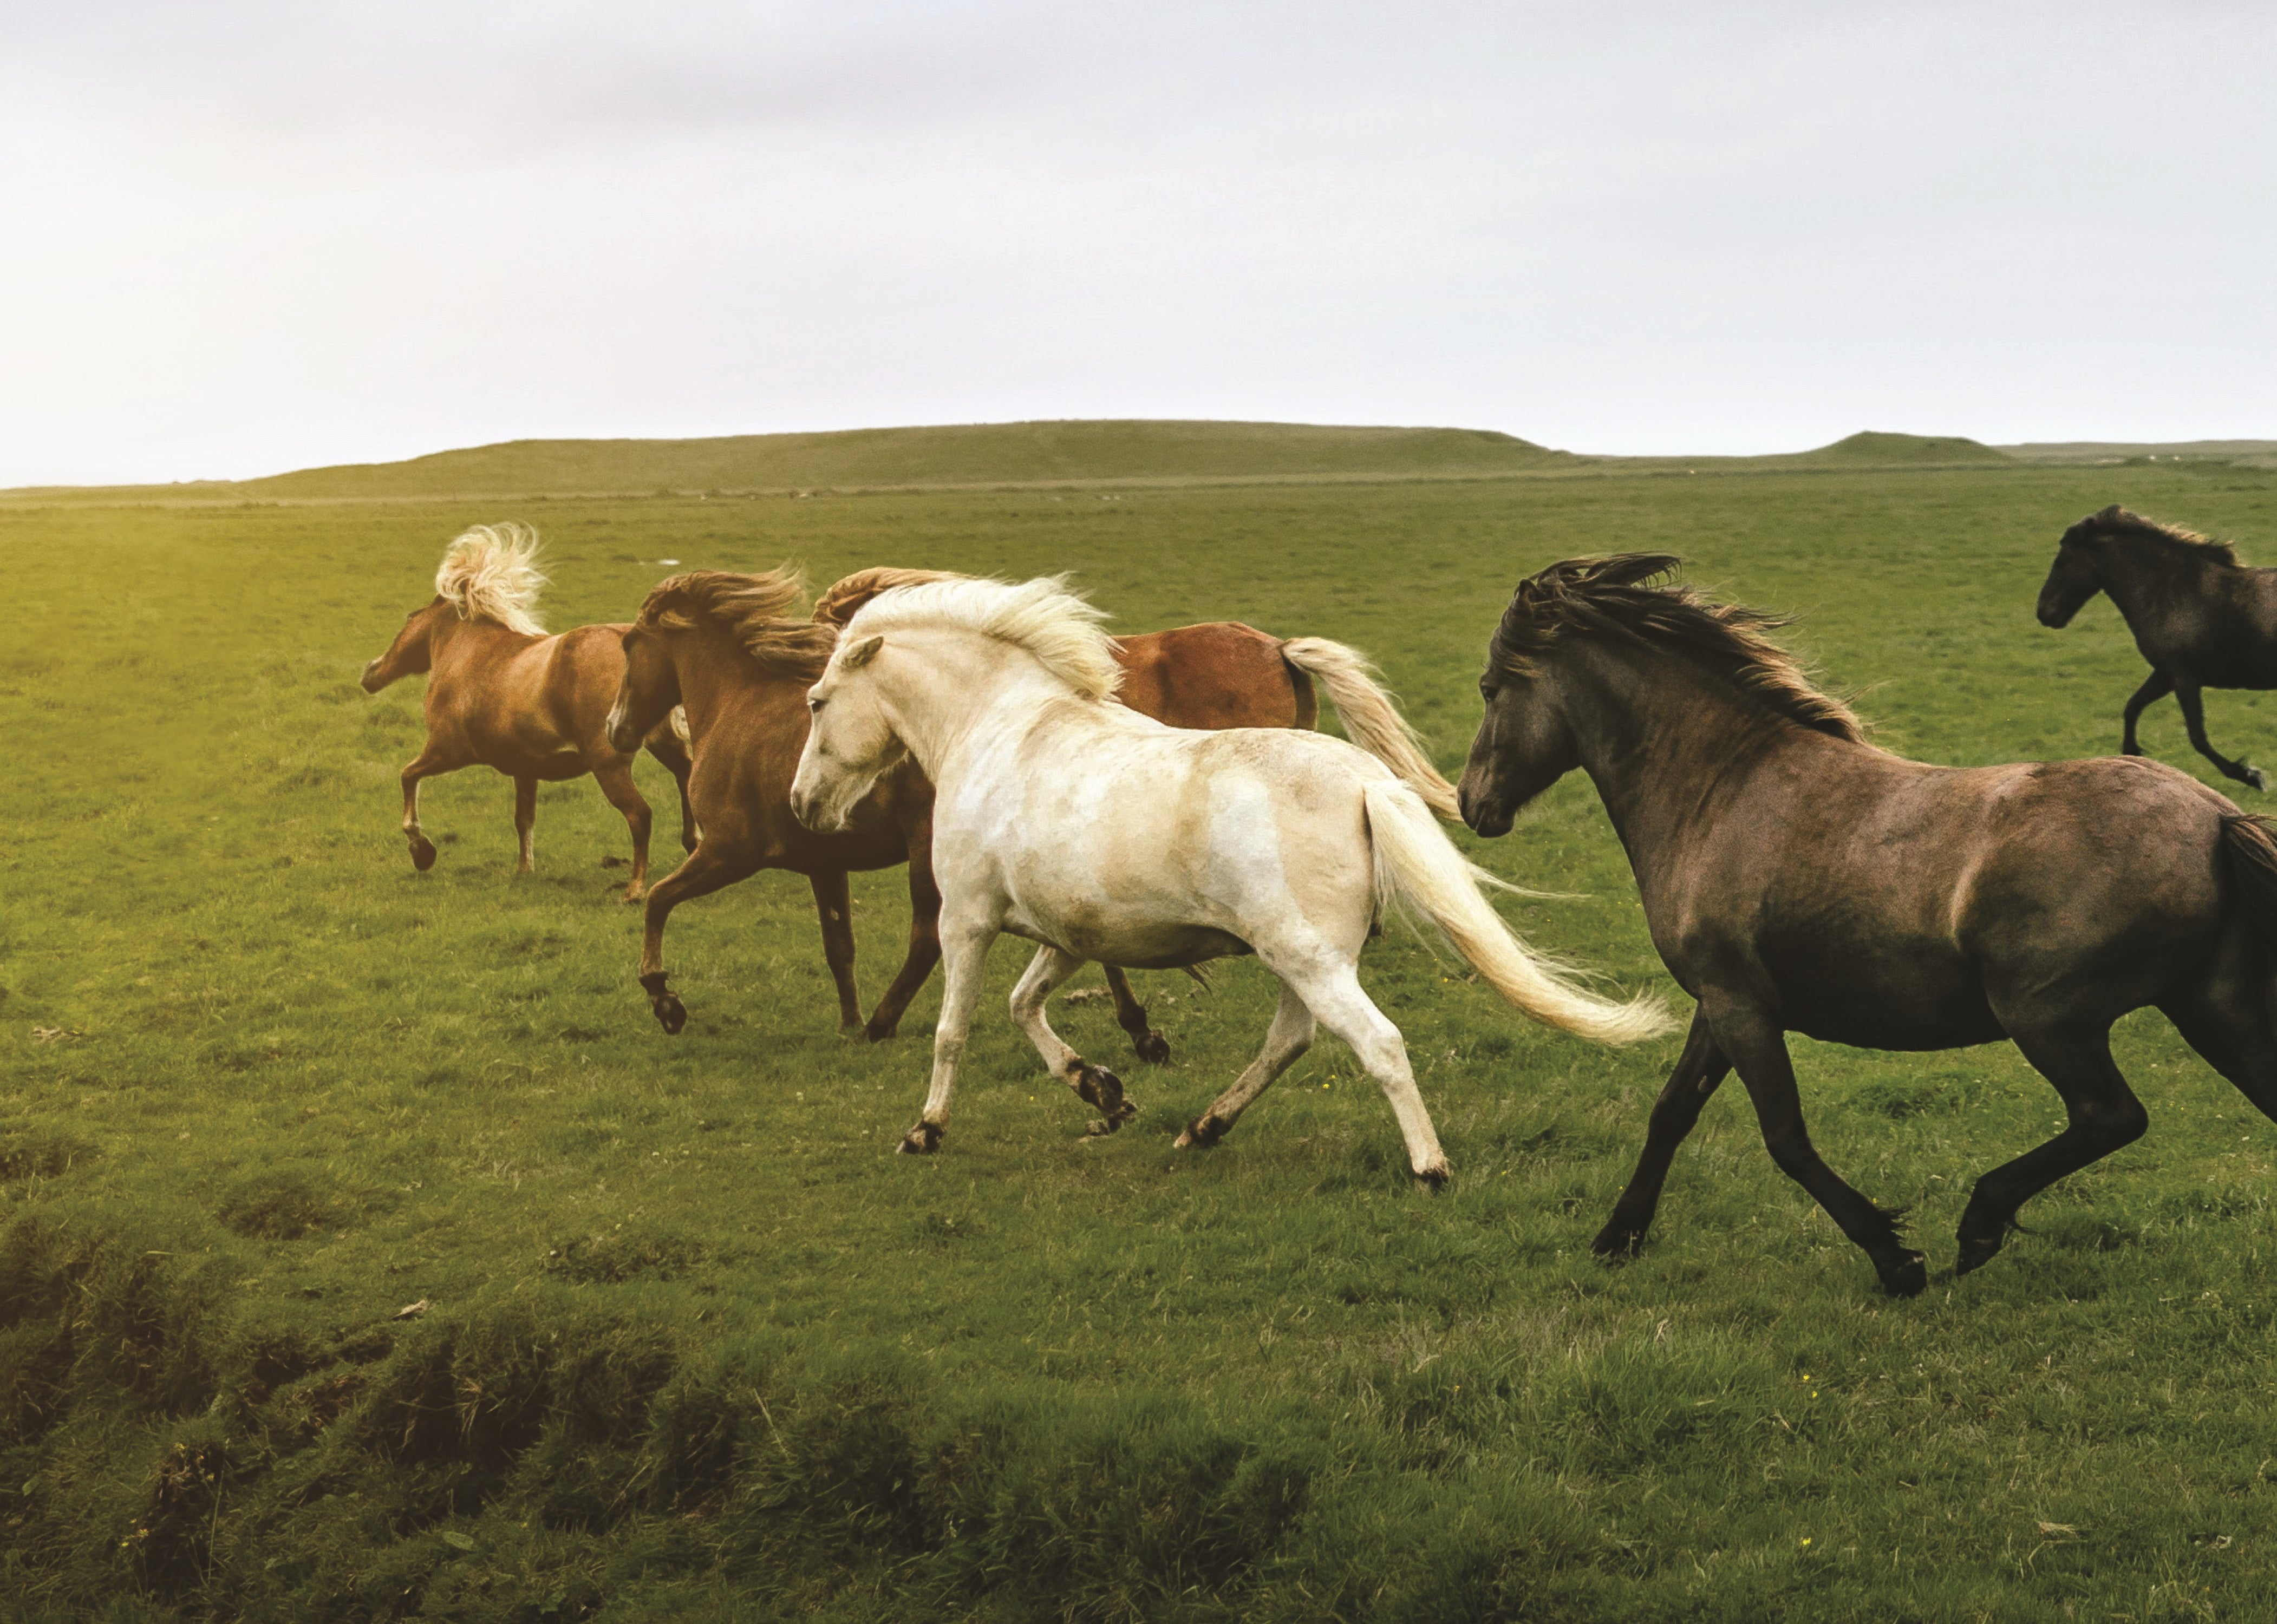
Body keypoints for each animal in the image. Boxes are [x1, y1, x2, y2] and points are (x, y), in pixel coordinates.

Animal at [360, 524, 697, 902]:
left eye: (409, 618)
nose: (369, 674)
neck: (468, 654)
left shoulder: (447, 751)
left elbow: (408, 776)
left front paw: (422, 851)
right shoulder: (525, 768)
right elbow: (524, 820)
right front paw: (525, 871)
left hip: (609, 765)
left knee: (640, 815)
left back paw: (636, 889)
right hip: (665, 745)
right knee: (686, 781)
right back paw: (690, 852)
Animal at [609, 567, 1465, 1052]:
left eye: (627, 647)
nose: (617, 729)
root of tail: (1277, 645)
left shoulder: (732, 847)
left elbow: (657, 901)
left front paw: (664, 1001)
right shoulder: (822, 861)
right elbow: (837, 945)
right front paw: (848, 1019)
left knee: (925, 934)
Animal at [787, 575, 1669, 1174]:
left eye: (817, 701)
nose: (802, 804)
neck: (1003, 728)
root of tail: (1366, 783)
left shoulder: (965, 919)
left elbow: (953, 1031)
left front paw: (925, 1130)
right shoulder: (1064, 936)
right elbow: (1022, 1009)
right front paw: (1102, 1091)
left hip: (1308, 960)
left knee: (1376, 1043)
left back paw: (1429, 1167)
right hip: (1301, 961)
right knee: (1291, 1041)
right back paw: (1205, 1126)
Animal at [1457, 552, 2277, 1297]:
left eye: (1491, 688)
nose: (1470, 803)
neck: (1720, 791)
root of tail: (2215, 815)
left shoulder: (1741, 1009)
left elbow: (1784, 1139)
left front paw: (1895, 1260)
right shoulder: (1718, 1003)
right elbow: (1671, 1113)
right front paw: (1616, 1238)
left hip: (2048, 1018)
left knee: (2109, 1117)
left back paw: (1978, 1224)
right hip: (2210, 1011)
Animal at [2038, 505, 2277, 791]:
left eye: (2062, 562)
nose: (2044, 613)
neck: (2175, 592)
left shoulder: (2184, 677)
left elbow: (2198, 737)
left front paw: (2251, 776)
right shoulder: (2165, 674)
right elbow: (2133, 707)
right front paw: (2132, 755)